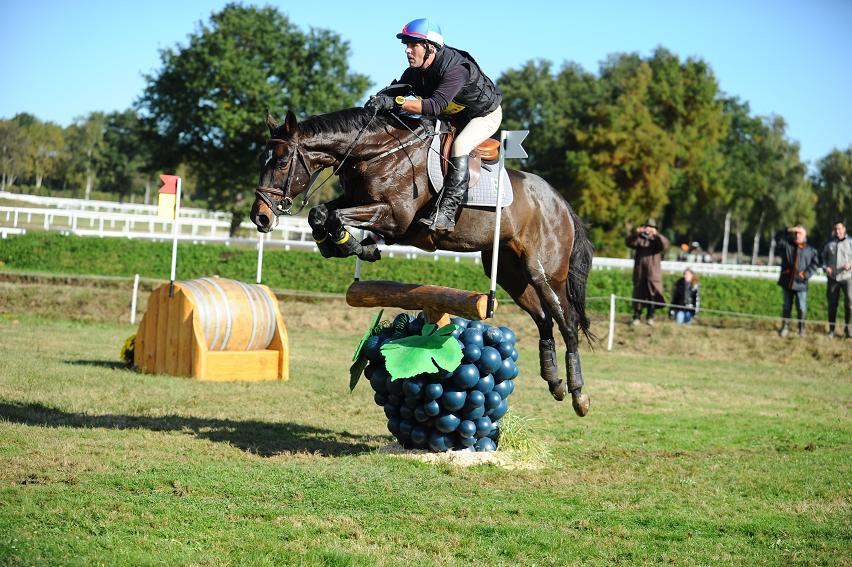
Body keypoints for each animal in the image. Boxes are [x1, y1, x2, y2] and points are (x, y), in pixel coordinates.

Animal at [251, 108, 592, 418]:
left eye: (282, 162)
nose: (260, 217)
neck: (374, 153)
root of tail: (560, 202)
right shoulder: (360, 202)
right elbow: (320, 213)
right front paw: (340, 245)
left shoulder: (394, 217)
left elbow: (334, 216)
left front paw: (354, 246)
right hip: (511, 272)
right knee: (543, 320)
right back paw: (555, 384)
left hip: (544, 272)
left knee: (567, 323)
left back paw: (578, 394)